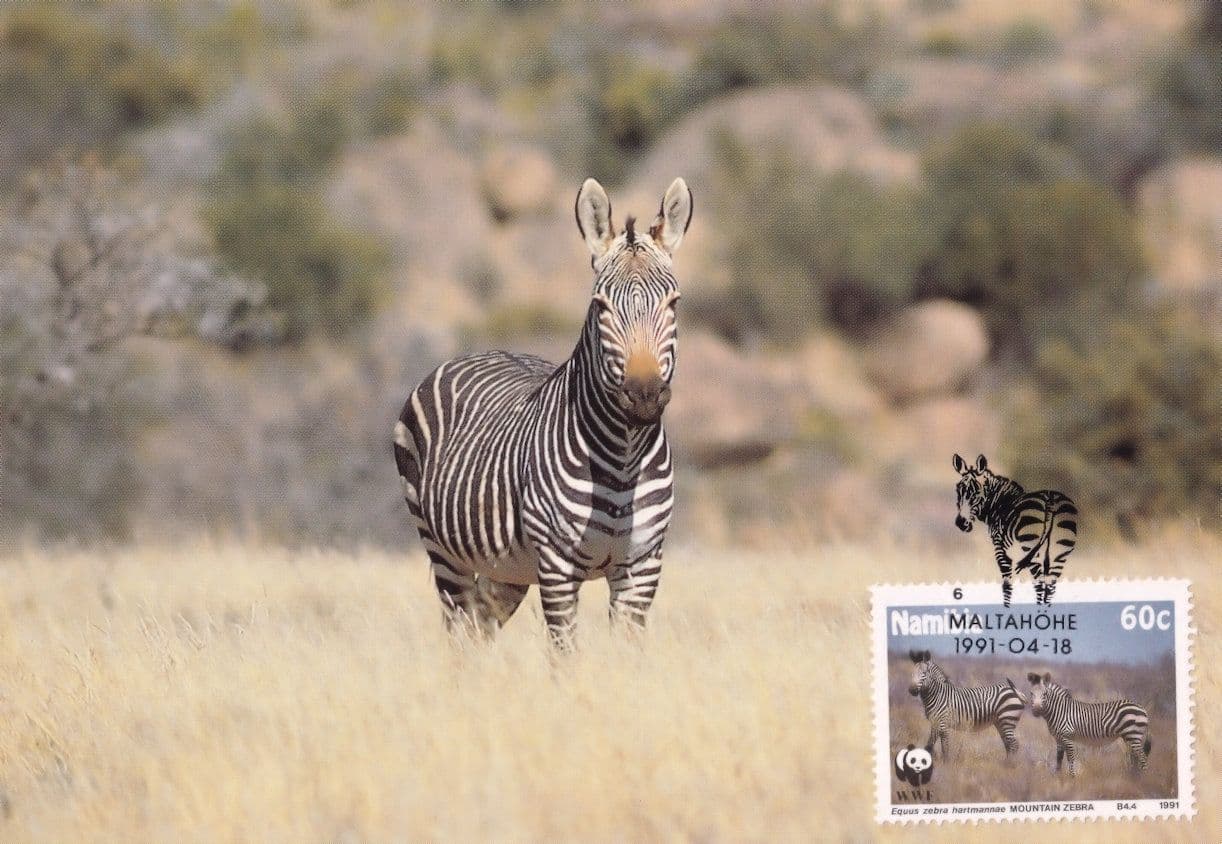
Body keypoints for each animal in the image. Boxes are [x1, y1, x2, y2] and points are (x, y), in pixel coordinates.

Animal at [393, 177, 693, 647]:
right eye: (600, 306)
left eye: (673, 303)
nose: (643, 396)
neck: (625, 458)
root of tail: (483, 349)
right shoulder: (557, 567)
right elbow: (564, 654)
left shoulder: (643, 567)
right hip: (443, 551)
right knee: (459, 634)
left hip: (506, 569)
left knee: (479, 630)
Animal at [952, 453, 1078, 607]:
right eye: (958, 491)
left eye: (976, 493)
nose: (961, 523)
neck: (999, 503)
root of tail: (1050, 501)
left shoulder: (1000, 549)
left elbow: (1007, 584)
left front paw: (1006, 608)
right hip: (1059, 552)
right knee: (1050, 587)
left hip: (1031, 549)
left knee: (1039, 585)